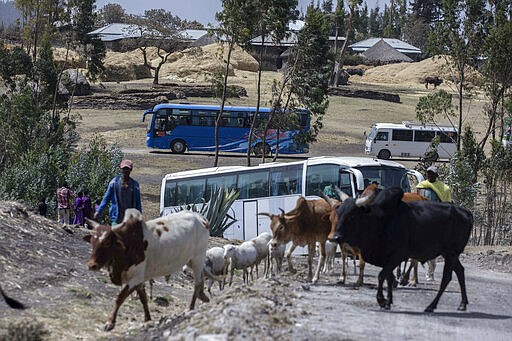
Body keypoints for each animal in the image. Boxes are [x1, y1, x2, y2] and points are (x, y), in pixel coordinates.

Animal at [330, 187, 474, 312]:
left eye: (352, 216)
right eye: (339, 213)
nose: (336, 237)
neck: (380, 221)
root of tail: (466, 213)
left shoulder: (398, 255)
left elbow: (381, 276)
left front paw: (381, 300)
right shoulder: (386, 258)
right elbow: (389, 277)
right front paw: (388, 302)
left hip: (451, 253)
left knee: (447, 277)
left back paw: (431, 306)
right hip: (450, 254)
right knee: (460, 271)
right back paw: (462, 304)